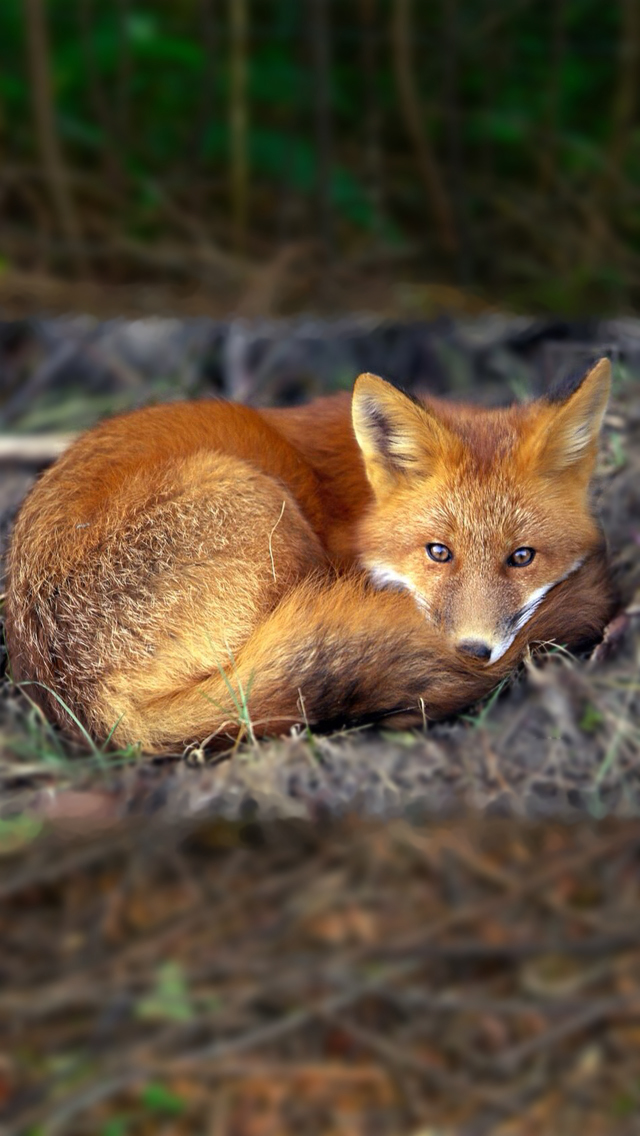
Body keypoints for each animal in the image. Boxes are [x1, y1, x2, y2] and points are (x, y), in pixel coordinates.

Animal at [5, 357, 615, 755]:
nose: (474, 651)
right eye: (438, 552)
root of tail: (86, 705)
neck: (362, 499)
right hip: (262, 503)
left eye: (522, 557)